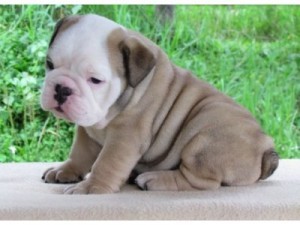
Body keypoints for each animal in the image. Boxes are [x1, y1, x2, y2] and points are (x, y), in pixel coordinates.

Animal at [40, 14, 278, 194]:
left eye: (95, 80)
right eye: (49, 64)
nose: (62, 89)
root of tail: (265, 148)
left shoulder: (126, 137)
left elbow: (106, 162)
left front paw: (91, 187)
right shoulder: (87, 131)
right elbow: (79, 153)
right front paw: (65, 170)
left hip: (204, 139)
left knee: (200, 182)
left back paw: (154, 179)